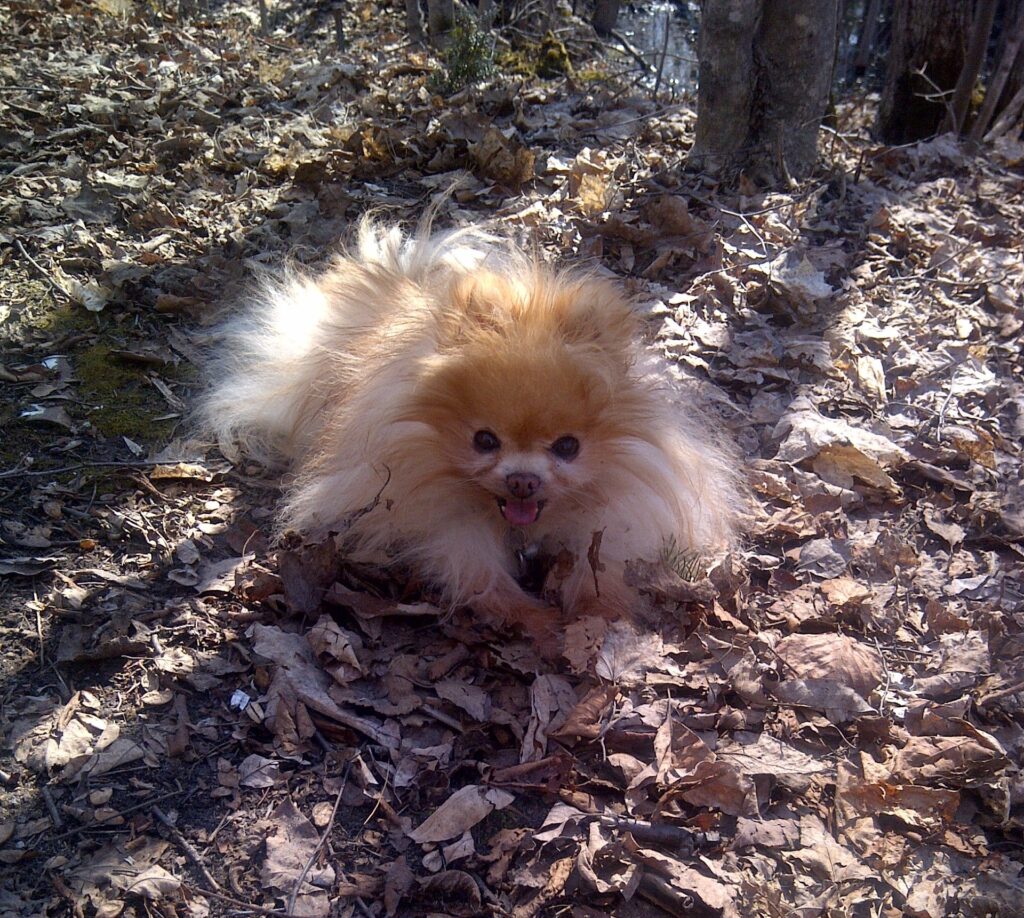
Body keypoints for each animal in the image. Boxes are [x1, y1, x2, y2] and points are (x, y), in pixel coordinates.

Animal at [203, 220, 741, 651]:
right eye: (484, 440)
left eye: (568, 447)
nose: (522, 479)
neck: (519, 529)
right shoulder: (450, 528)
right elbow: (484, 580)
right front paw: (539, 622)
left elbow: (596, 570)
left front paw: (598, 616)